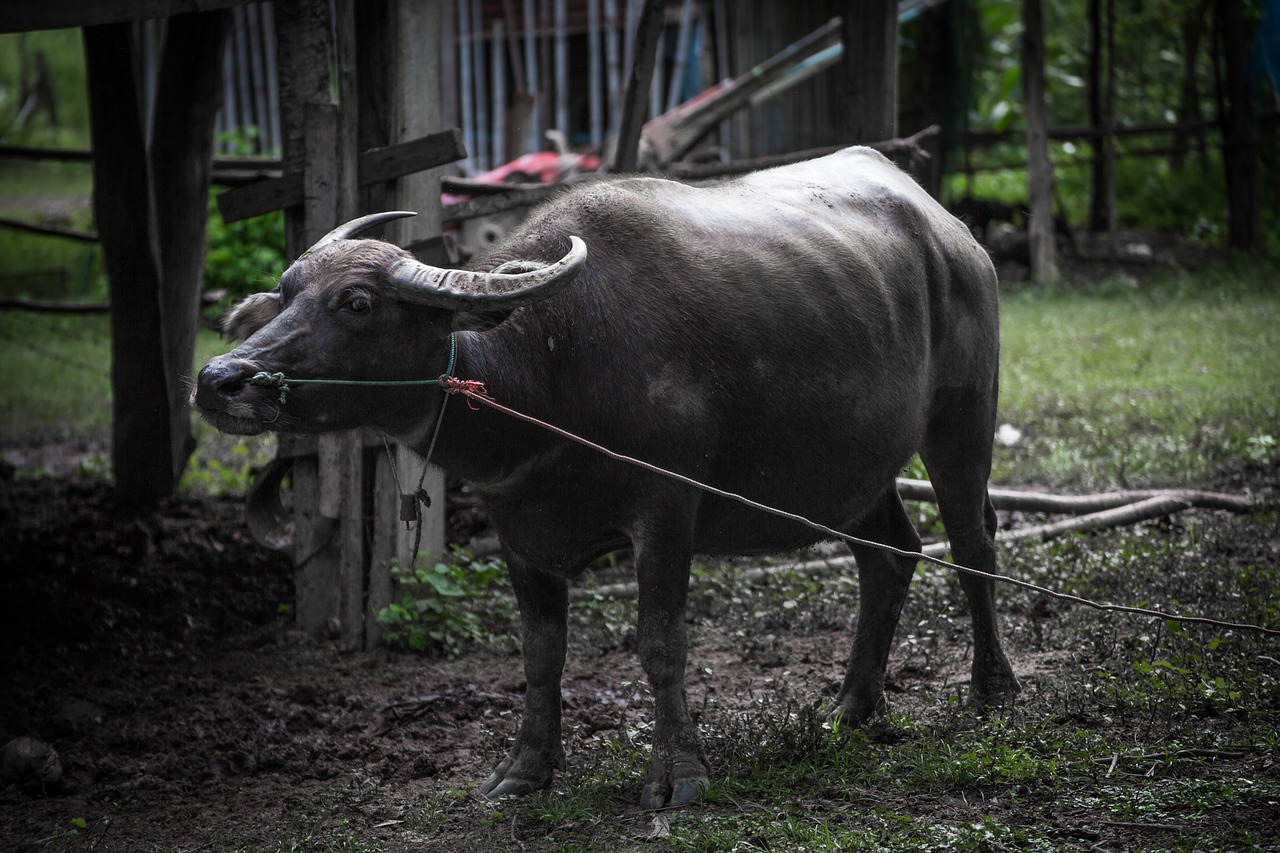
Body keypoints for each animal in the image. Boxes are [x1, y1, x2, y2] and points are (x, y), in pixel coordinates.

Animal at [197, 144, 1018, 804]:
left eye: (358, 301)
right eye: (285, 292)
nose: (219, 379)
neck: (553, 368)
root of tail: (952, 233)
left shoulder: (667, 511)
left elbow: (660, 642)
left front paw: (679, 775)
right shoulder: (518, 532)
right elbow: (540, 655)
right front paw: (523, 772)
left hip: (963, 416)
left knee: (973, 541)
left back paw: (992, 688)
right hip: (850, 469)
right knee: (890, 555)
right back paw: (852, 705)